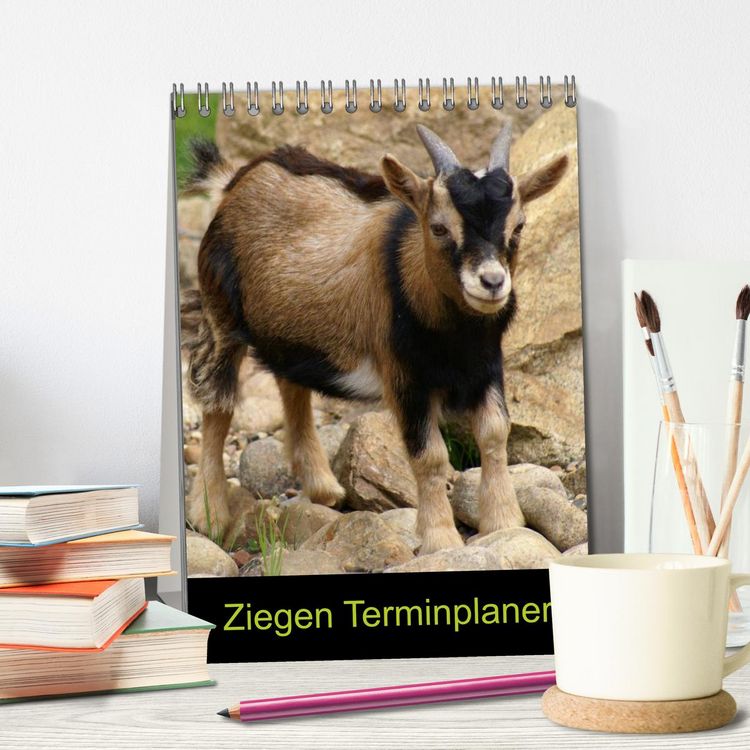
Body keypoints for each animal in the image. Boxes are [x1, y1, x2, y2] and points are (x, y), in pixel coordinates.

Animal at [182, 124, 568, 554]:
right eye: (439, 227)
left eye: (518, 226)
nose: (492, 282)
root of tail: (234, 180)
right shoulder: (404, 375)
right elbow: (430, 455)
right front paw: (440, 538)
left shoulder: (487, 364)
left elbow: (495, 433)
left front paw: (504, 522)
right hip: (220, 312)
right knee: (217, 404)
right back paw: (210, 514)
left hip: (290, 330)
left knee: (291, 385)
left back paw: (322, 487)